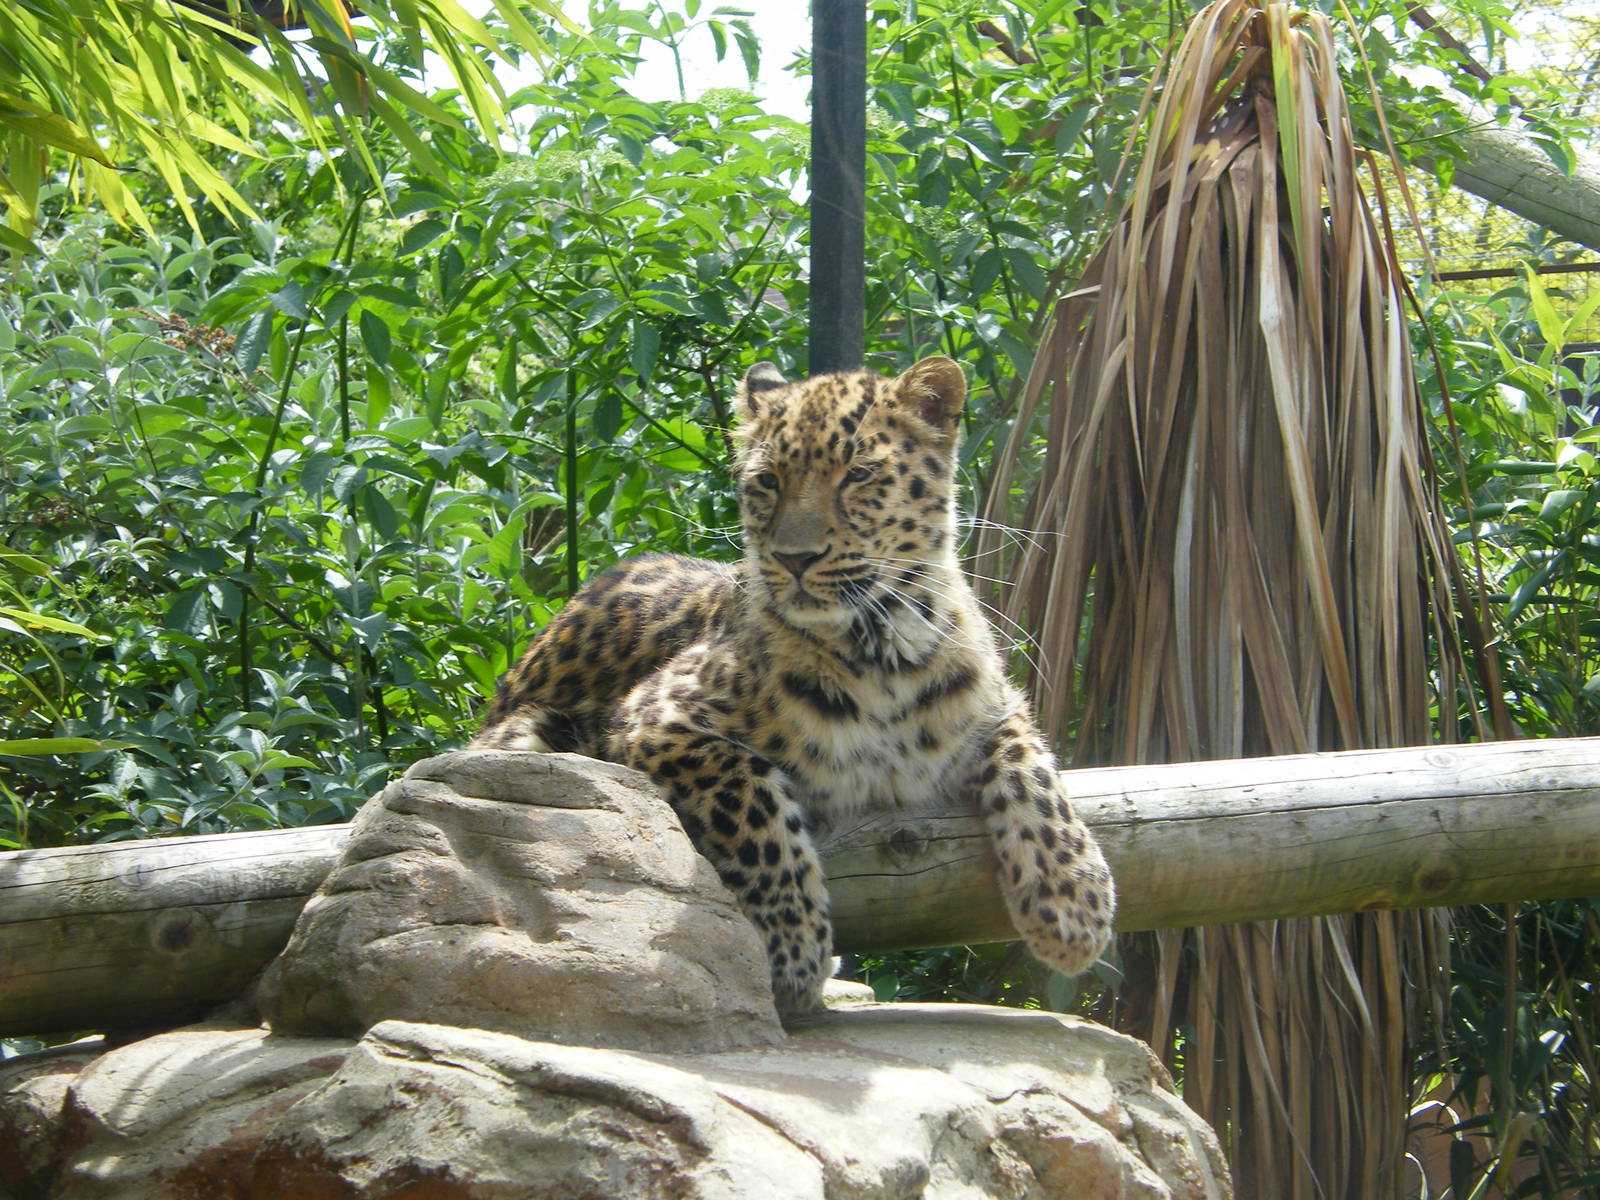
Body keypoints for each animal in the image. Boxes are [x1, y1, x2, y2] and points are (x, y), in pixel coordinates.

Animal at [470, 355, 1115, 1014]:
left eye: (858, 474)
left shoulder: (997, 706)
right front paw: (793, 955)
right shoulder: (654, 717)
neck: (884, 650)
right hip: (522, 735)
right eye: (768, 481)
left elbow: (1036, 771)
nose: (795, 557)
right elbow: (751, 801)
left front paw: (1075, 905)